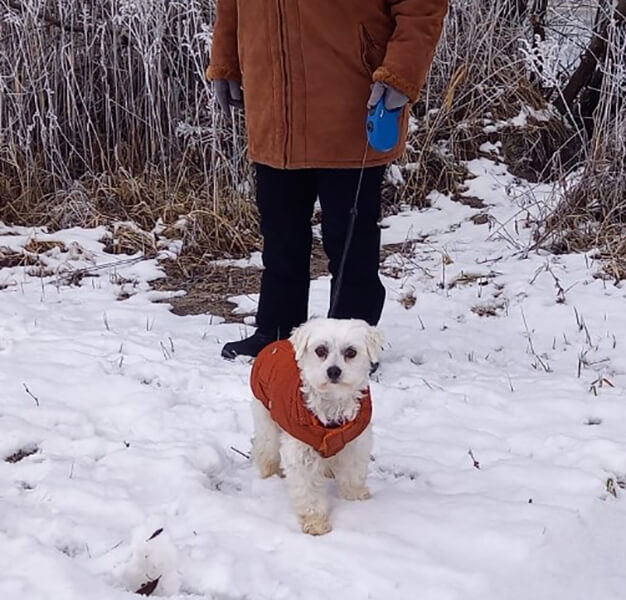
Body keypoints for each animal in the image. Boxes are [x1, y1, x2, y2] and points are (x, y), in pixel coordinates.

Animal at [250, 318, 384, 535]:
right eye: (320, 350)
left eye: (351, 352)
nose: (333, 371)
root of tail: (276, 343)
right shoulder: (300, 450)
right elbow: (309, 491)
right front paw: (316, 522)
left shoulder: (355, 441)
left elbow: (353, 472)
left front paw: (355, 497)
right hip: (266, 419)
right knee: (266, 449)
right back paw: (270, 473)